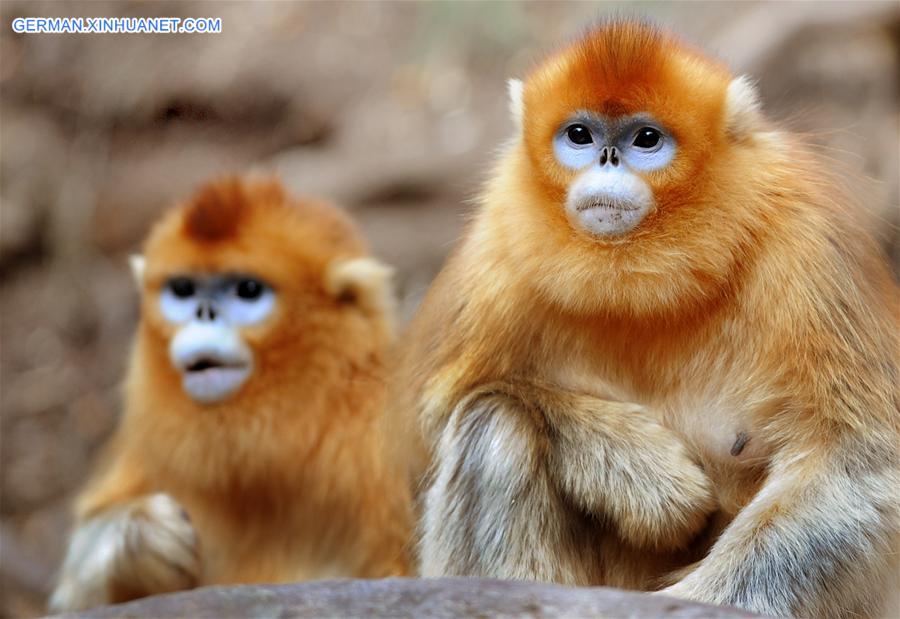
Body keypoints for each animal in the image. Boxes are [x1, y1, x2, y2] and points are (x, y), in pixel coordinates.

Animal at [392, 19, 900, 619]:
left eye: (646, 140)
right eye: (580, 135)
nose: (607, 160)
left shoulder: (809, 241)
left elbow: (857, 465)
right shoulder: (500, 241)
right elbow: (421, 430)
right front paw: (645, 471)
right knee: (494, 421)